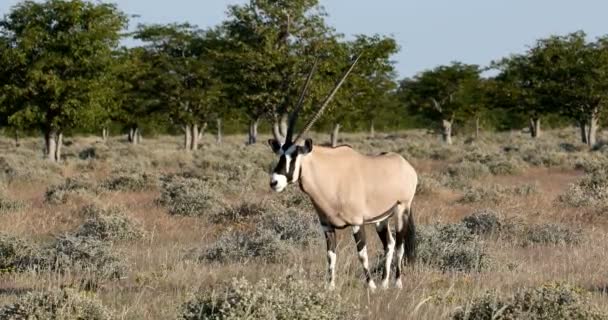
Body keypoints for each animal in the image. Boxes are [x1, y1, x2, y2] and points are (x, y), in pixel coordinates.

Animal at [268, 55, 418, 290]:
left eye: (295, 156)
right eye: (280, 153)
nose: (274, 182)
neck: (330, 177)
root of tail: (405, 165)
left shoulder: (356, 223)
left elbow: (362, 254)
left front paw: (370, 287)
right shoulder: (327, 226)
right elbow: (331, 256)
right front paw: (329, 287)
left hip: (402, 208)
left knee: (401, 244)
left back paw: (397, 283)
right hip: (381, 219)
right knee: (390, 243)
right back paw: (385, 283)